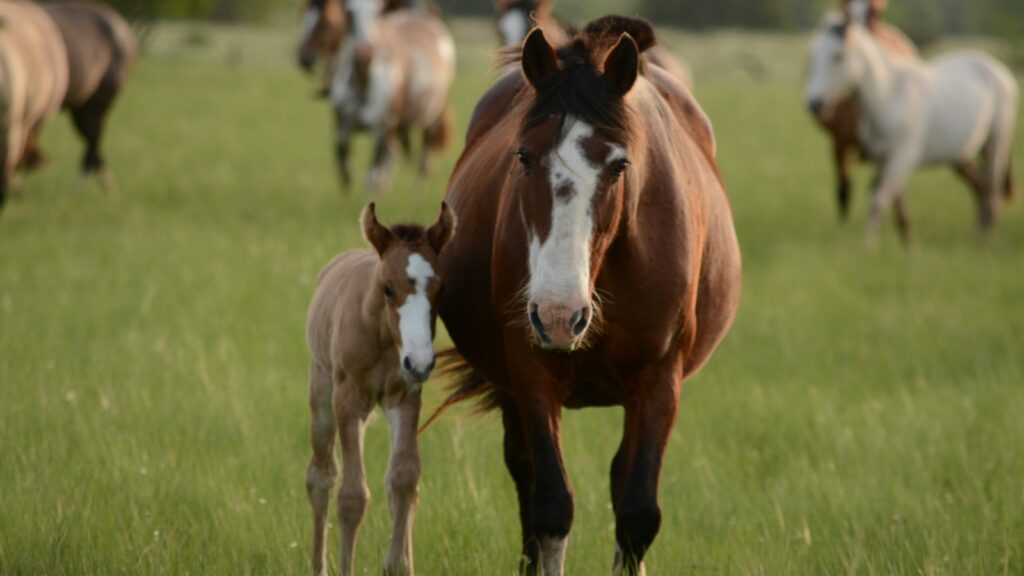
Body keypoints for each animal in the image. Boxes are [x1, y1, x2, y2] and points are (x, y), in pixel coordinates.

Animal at [305, 202, 456, 576]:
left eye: (441, 289)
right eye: (388, 288)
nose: (420, 362)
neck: (383, 337)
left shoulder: (405, 398)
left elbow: (403, 478)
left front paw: (398, 565)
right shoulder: (347, 401)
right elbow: (351, 495)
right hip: (323, 397)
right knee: (321, 475)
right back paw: (318, 565)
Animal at [325, 0, 454, 193]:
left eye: (377, 13)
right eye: (348, 13)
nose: (365, 52)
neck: (362, 84)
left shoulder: (382, 130)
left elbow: (372, 176)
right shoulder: (341, 127)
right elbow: (345, 171)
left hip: (431, 119)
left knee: (423, 159)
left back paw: (416, 190)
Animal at [429, 16, 741, 575]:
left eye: (619, 166)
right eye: (524, 156)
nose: (559, 316)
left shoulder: (659, 380)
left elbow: (638, 512)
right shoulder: (530, 372)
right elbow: (551, 505)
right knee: (525, 475)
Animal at [806, 4, 1019, 242]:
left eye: (838, 56)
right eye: (814, 57)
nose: (814, 103)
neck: (888, 98)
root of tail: (1000, 71)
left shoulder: (903, 156)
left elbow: (879, 199)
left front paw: (866, 244)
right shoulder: (882, 158)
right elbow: (884, 197)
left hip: (996, 143)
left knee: (991, 188)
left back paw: (986, 240)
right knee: (982, 187)